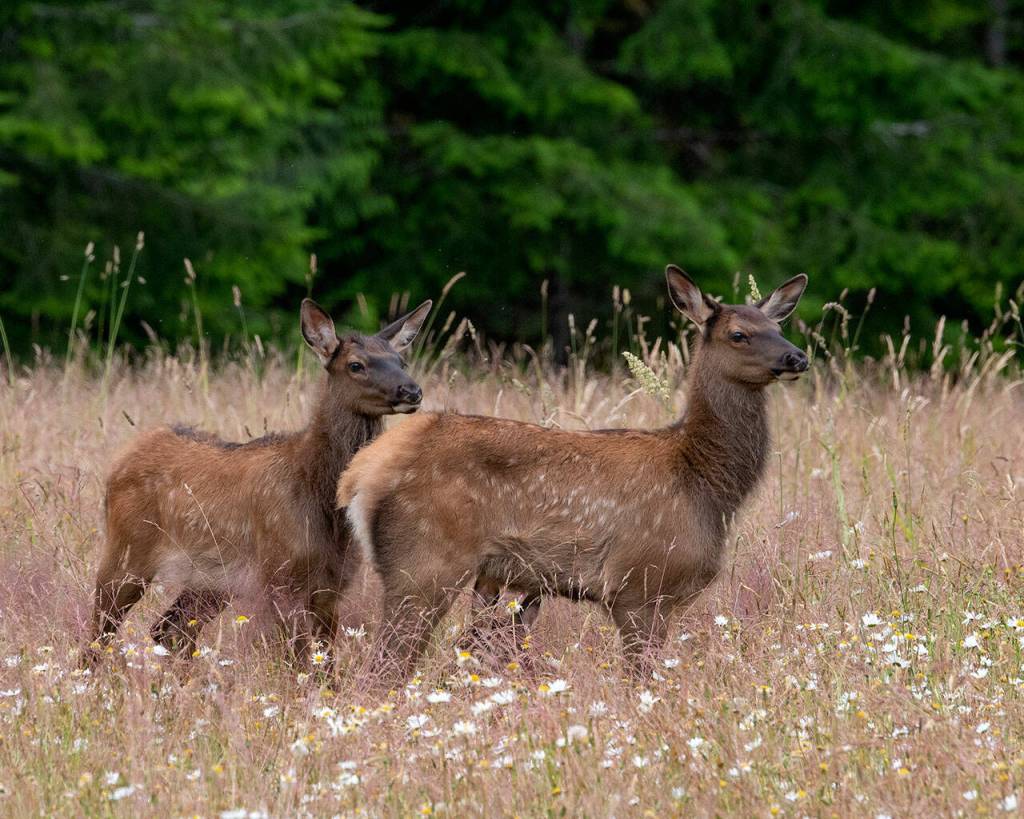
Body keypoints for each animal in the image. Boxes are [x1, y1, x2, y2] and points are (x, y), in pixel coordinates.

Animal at [81, 296, 432, 671]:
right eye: (356, 365)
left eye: (402, 360)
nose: (412, 390)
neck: (318, 493)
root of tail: (122, 459)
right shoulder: (281, 575)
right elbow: (299, 663)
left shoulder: (332, 586)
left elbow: (325, 667)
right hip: (126, 549)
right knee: (100, 632)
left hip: (212, 579)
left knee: (169, 629)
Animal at [336, 267, 808, 681]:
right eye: (739, 334)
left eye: (778, 326)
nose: (797, 356)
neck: (705, 485)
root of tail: (360, 475)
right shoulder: (638, 583)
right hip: (423, 560)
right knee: (382, 670)